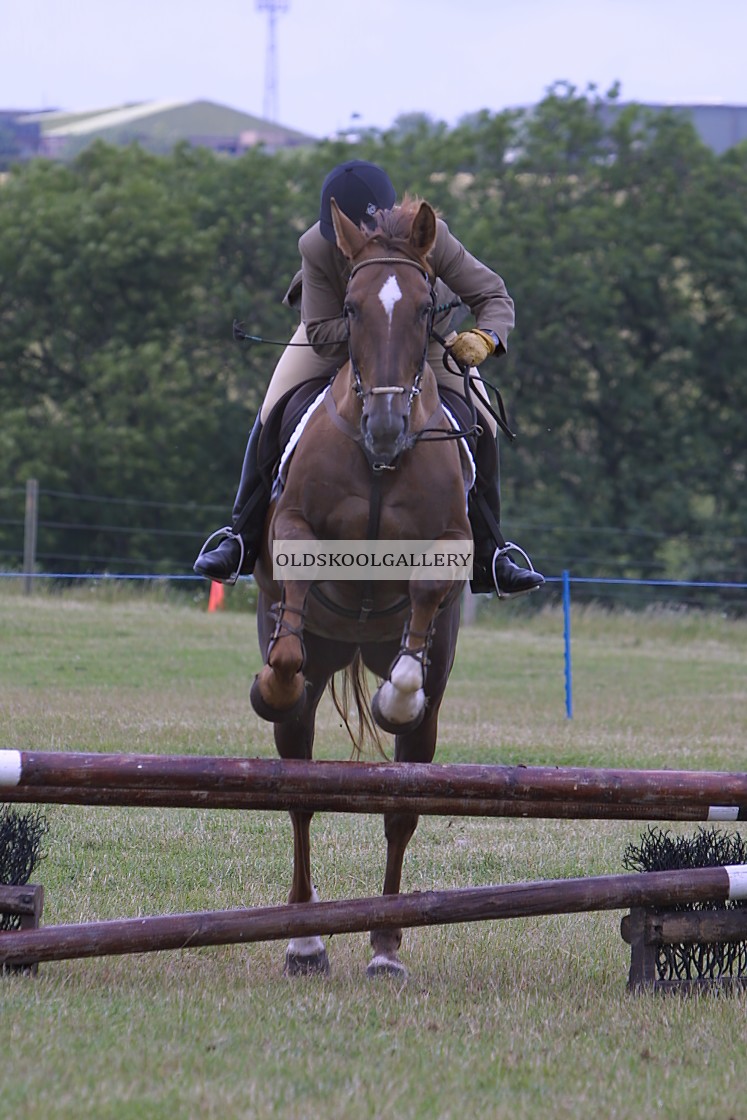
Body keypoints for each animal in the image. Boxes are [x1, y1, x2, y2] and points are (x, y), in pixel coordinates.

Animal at [250, 201, 472, 981]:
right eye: (349, 307)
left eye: (427, 309)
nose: (382, 426)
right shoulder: (293, 526)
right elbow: (286, 651)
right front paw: (272, 683)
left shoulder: (448, 543)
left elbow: (420, 621)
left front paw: (395, 697)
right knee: (300, 796)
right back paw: (305, 942)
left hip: (426, 721)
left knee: (401, 805)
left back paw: (383, 946)